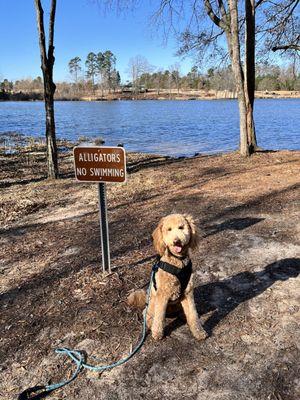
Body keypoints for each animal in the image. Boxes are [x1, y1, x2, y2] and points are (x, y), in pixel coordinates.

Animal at [126, 214, 206, 342]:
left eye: (181, 227)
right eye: (169, 229)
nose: (176, 241)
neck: (178, 261)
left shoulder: (188, 293)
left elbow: (193, 315)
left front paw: (198, 332)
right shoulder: (162, 295)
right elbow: (159, 317)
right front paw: (157, 333)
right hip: (152, 302)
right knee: (147, 314)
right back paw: (150, 323)